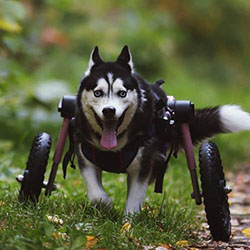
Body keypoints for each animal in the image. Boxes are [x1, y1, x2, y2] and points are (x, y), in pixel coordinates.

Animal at [75, 46, 250, 216]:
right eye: (98, 93)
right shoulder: (86, 157)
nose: (109, 110)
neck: (115, 147)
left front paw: (128, 222)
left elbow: (134, 199)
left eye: (122, 93)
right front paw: (106, 204)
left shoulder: (142, 166)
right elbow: (96, 195)